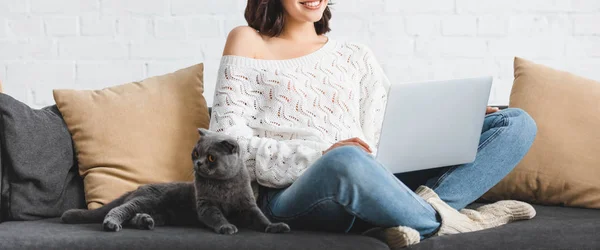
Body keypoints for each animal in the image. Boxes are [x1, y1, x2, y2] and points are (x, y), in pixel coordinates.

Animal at [59, 128, 290, 235]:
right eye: (195, 153)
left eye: (211, 157)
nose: (198, 163)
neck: (223, 185)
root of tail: (137, 188)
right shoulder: (205, 205)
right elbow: (216, 216)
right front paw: (226, 227)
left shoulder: (248, 205)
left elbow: (261, 218)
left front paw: (275, 226)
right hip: (146, 199)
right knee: (119, 209)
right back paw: (112, 224)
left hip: (160, 212)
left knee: (134, 217)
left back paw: (145, 222)